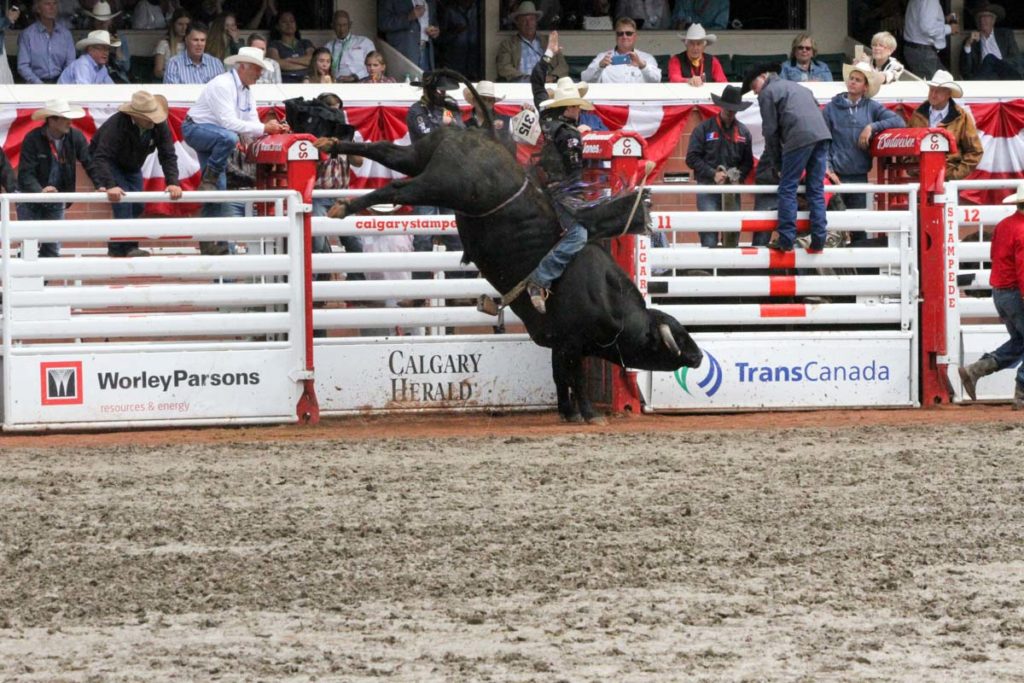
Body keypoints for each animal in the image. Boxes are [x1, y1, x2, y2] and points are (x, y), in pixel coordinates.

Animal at [327, 70, 704, 421]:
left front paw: (567, 412)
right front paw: (587, 414)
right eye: (678, 335)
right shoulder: (574, 343)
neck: (609, 299)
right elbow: (576, 378)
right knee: (397, 189)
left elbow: (560, 378)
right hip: (441, 184)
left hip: (421, 155)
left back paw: (329, 144)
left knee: (386, 152)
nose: (699, 355)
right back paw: (341, 205)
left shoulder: (558, 341)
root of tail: (484, 136)